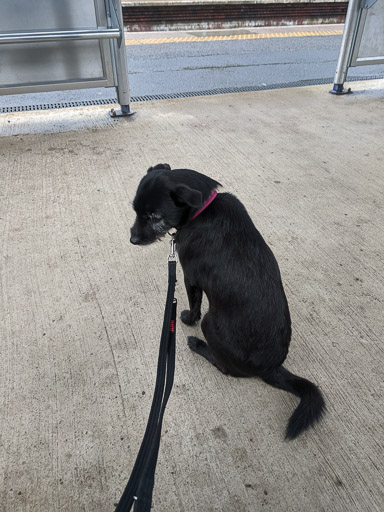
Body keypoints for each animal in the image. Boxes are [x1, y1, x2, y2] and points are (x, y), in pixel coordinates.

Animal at [130, 165, 326, 440]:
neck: (202, 208)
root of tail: (271, 367)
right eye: (135, 211)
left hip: (210, 323)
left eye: (155, 216)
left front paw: (187, 319)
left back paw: (197, 344)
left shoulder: (190, 277)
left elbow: (194, 305)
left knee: (224, 367)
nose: (133, 240)